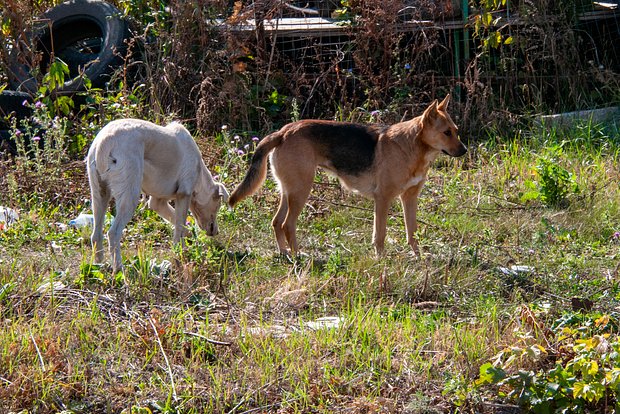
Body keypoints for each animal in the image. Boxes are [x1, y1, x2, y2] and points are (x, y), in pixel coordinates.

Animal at [86, 118, 229, 274]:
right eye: (218, 205)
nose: (216, 232)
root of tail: (103, 141)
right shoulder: (184, 195)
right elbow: (179, 227)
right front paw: (180, 255)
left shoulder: (158, 203)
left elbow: (179, 224)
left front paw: (188, 237)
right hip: (129, 196)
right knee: (113, 233)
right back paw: (118, 269)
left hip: (99, 194)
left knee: (96, 235)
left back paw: (98, 266)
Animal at [228, 95, 464, 256]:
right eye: (446, 133)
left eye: (456, 130)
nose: (464, 151)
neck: (412, 146)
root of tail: (283, 132)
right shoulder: (383, 199)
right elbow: (380, 235)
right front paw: (381, 260)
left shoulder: (410, 198)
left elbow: (412, 232)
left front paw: (418, 257)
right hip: (301, 191)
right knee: (287, 224)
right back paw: (298, 256)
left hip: (289, 191)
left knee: (277, 222)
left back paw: (285, 253)